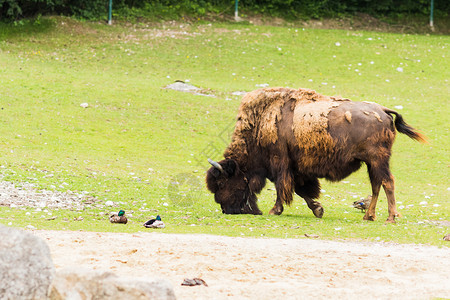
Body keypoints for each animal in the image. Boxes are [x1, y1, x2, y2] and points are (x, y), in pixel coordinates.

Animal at [207, 86, 426, 223]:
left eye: (223, 183)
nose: (226, 209)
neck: (260, 123)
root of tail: (383, 110)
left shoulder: (280, 163)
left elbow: (282, 187)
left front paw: (275, 210)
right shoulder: (297, 169)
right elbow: (301, 190)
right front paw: (318, 210)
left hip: (378, 160)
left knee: (387, 182)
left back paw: (390, 218)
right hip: (371, 163)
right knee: (376, 185)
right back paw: (368, 216)